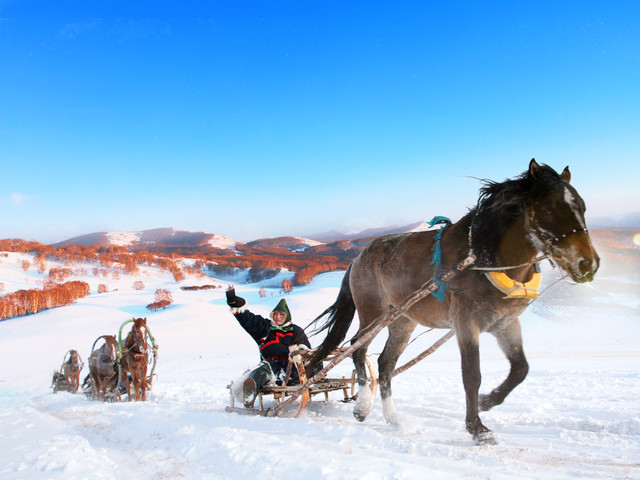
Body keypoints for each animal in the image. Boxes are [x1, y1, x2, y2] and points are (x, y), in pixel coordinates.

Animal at [310, 159, 600, 444]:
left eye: (583, 206)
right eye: (550, 209)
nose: (589, 264)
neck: (485, 259)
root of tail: (358, 257)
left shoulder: (505, 323)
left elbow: (521, 368)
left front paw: (487, 401)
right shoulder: (466, 324)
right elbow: (472, 375)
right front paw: (477, 428)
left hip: (403, 321)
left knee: (385, 364)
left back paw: (394, 418)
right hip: (374, 313)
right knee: (358, 349)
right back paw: (362, 407)